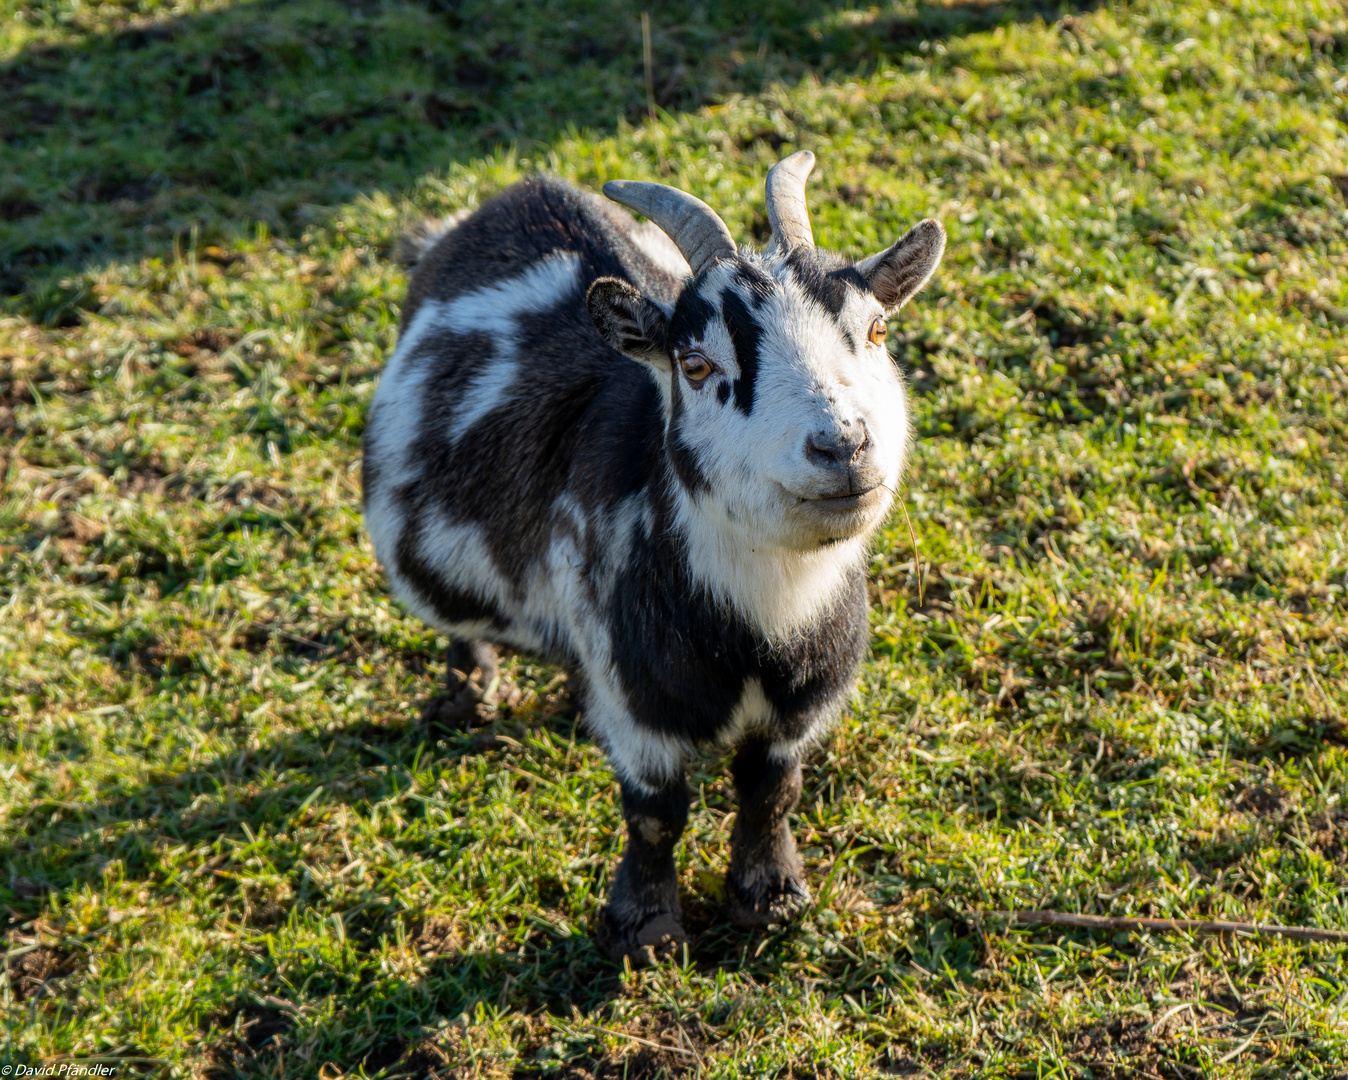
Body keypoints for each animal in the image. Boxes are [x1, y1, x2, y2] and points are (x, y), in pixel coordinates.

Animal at [363, 149, 943, 960]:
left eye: (879, 330)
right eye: (695, 366)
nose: (842, 445)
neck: (761, 623)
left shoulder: (800, 705)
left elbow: (772, 792)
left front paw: (770, 898)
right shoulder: (640, 702)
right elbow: (655, 812)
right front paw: (644, 928)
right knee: (462, 627)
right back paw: (467, 695)